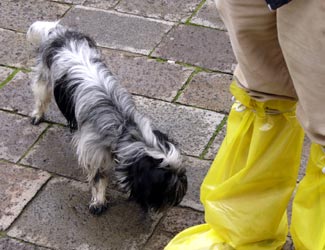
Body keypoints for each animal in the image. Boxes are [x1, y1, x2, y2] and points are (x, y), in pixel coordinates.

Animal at [27, 20, 187, 215]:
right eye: (162, 185)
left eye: (181, 175)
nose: (177, 199)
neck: (122, 125)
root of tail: (58, 31)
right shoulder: (93, 152)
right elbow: (98, 178)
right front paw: (99, 201)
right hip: (44, 78)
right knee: (40, 97)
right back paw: (37, 115)